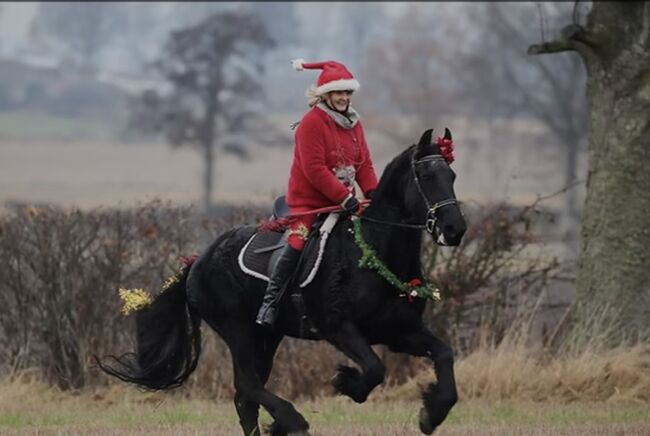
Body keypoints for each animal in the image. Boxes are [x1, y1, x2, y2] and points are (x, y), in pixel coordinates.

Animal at [97, 129, 466, 436]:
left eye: (452, 176)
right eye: (427, 176)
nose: (454, 229)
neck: (373, 252)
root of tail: (197, 262)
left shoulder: (398, 331)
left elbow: (444, 354)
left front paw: (431, 413)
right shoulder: (340, 328)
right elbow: (374, 369)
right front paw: (346, 383)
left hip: (267, 336)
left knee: (245, 397)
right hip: (238, 329)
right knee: (247, 385)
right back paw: (291, 420)